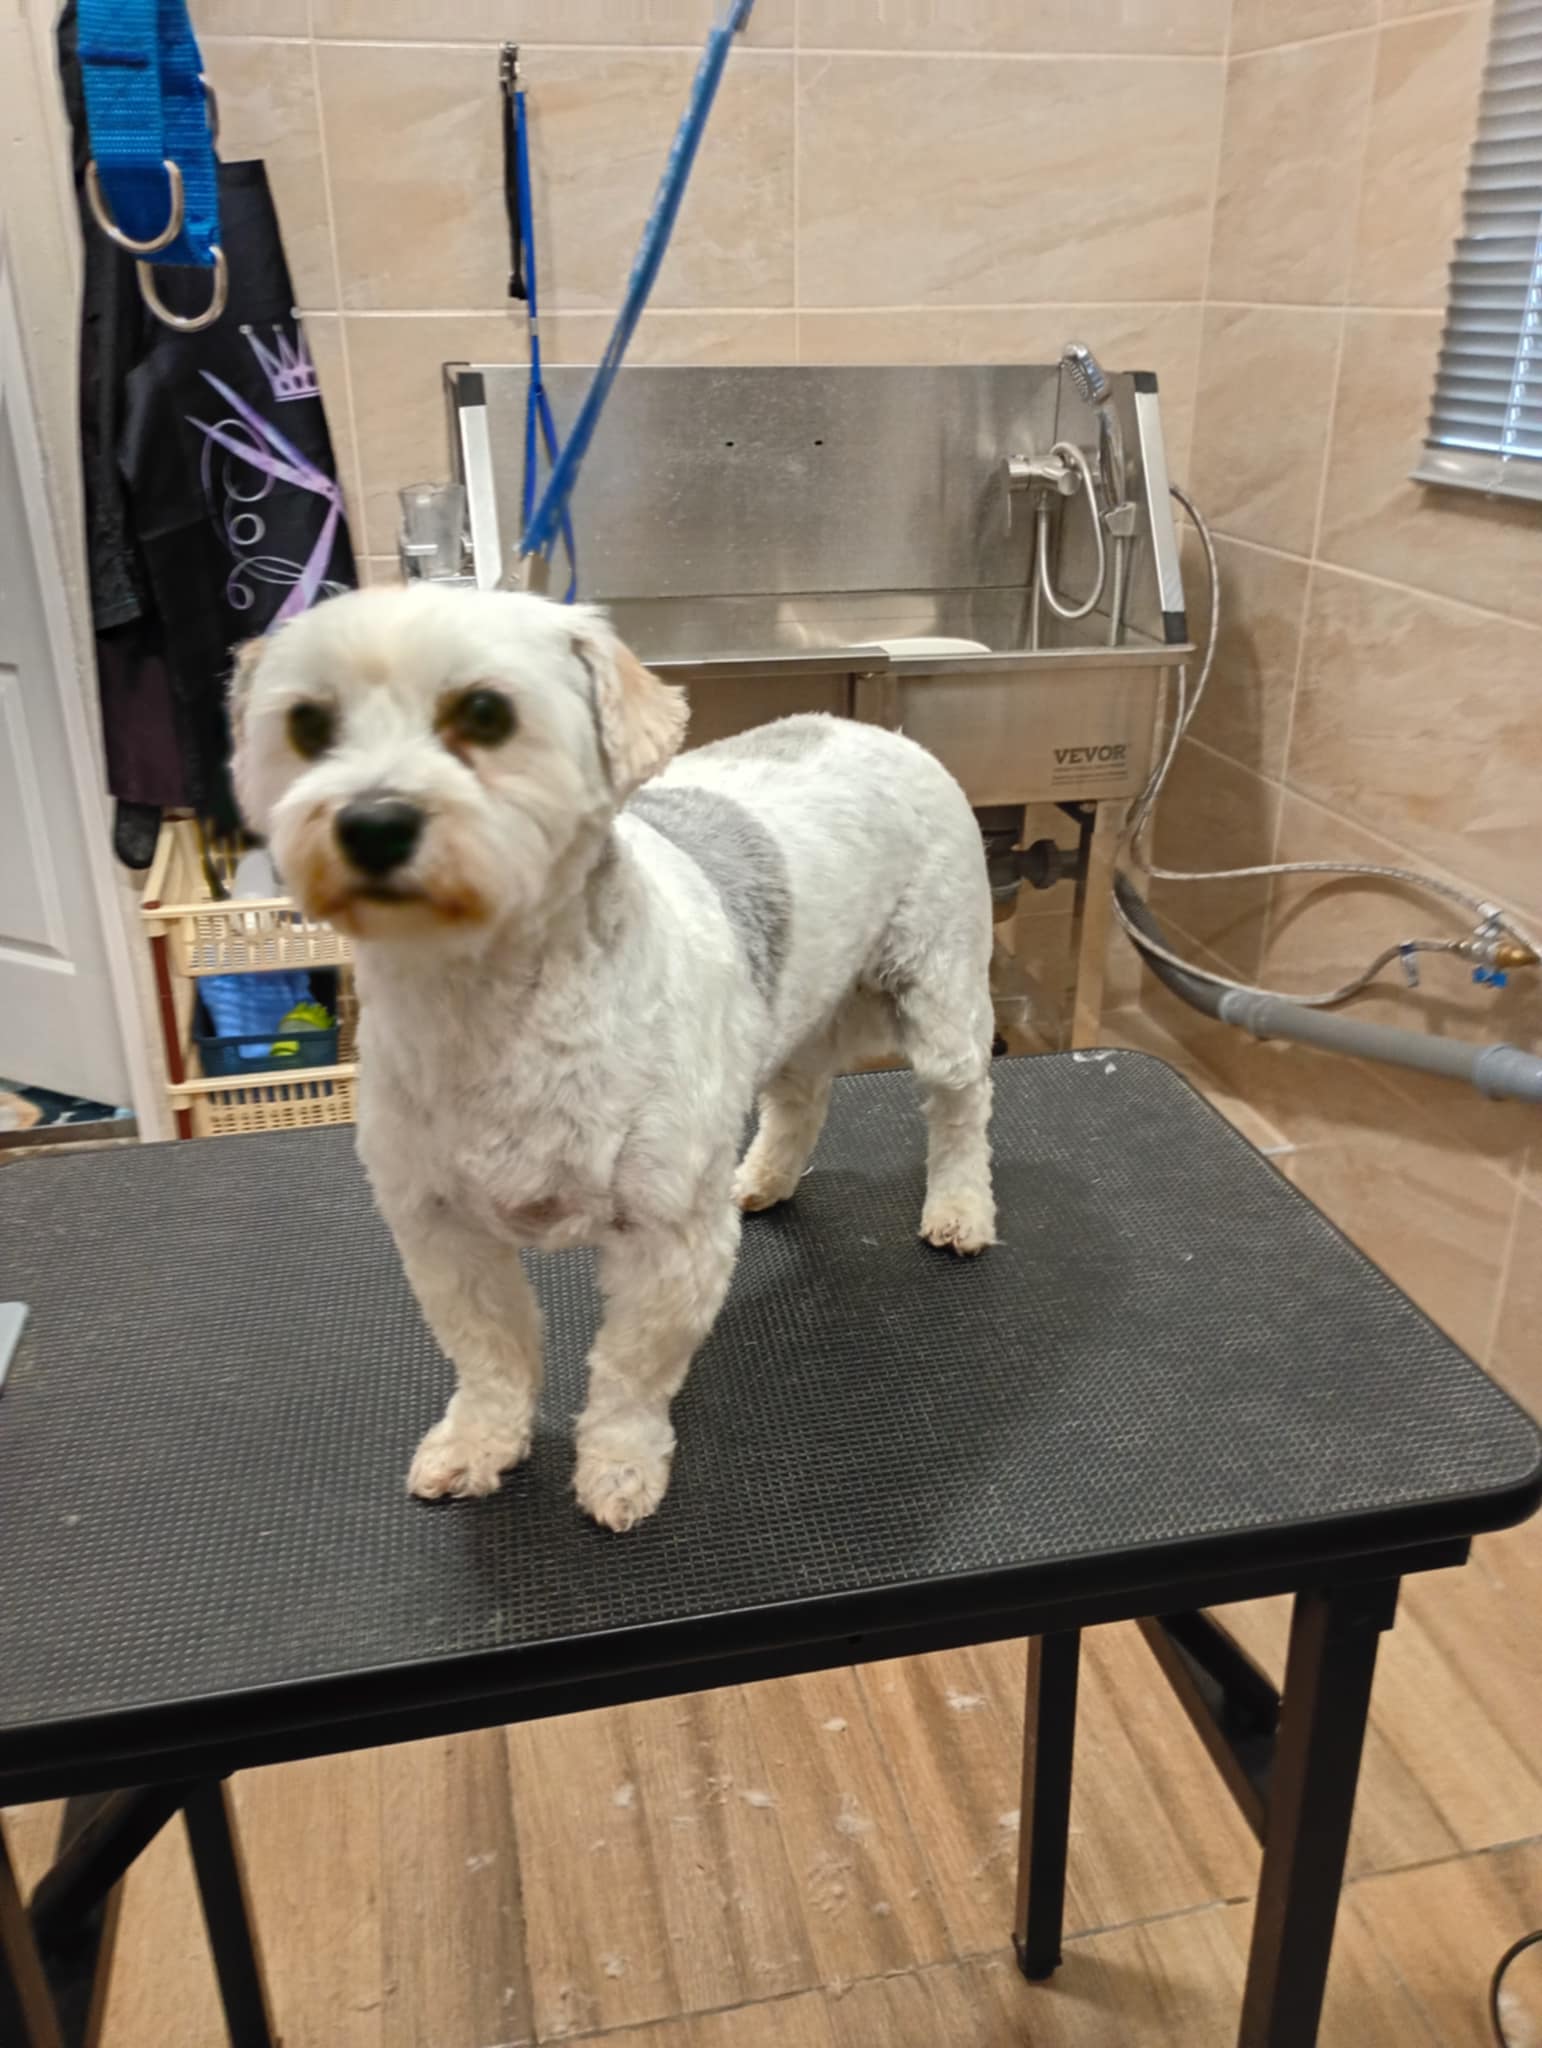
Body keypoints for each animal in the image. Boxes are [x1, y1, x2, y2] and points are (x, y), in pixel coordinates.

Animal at [230, 584, 996, 1530]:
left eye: (484, 713)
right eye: (307, 723)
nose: (372, 821)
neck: (490, 1003)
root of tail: (874, 730)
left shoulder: (667, 1232)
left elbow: (632, 1371)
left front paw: (620, 1468)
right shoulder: (439, 1226)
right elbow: (489, 1353)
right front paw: (479, 1441)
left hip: (939, 984)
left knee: (960, 1104)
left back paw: (960, 1209)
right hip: (788, 1006)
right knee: (801, 1092)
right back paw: (764, 1176)